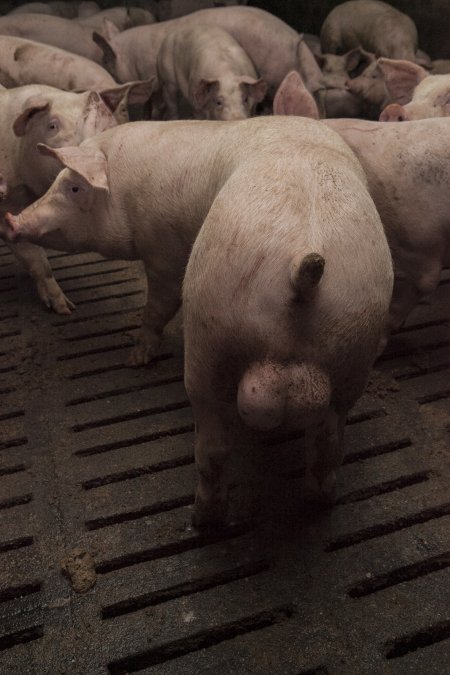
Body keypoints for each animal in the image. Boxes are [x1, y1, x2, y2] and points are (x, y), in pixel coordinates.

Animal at [181, 116, 392, 528]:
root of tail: (301, 267)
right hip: (353, 349)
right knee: (329, 444)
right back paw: (320, 502)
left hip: (209, 335)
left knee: (212, 448)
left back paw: (202, 518)